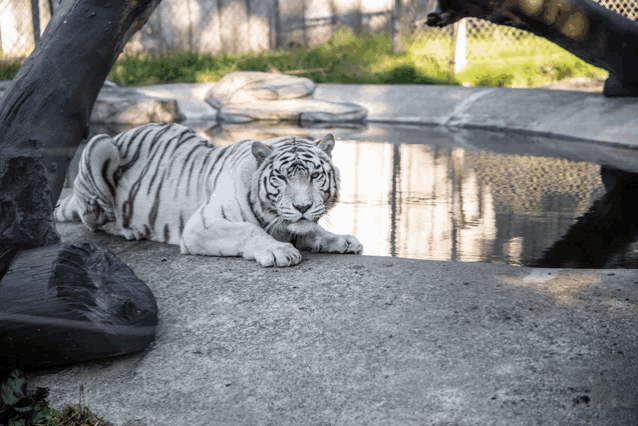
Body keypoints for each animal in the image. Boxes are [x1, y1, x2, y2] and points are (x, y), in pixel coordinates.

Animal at [53, 121, 364, 266]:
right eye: (281, 177)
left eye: (314, 176)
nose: (302, 207)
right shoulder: (202, 225)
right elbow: (249, 231)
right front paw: (279, 251)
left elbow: (313, 229)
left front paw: (342, 240)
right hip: (99, 144)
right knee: (95, 219)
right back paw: (129, 229)